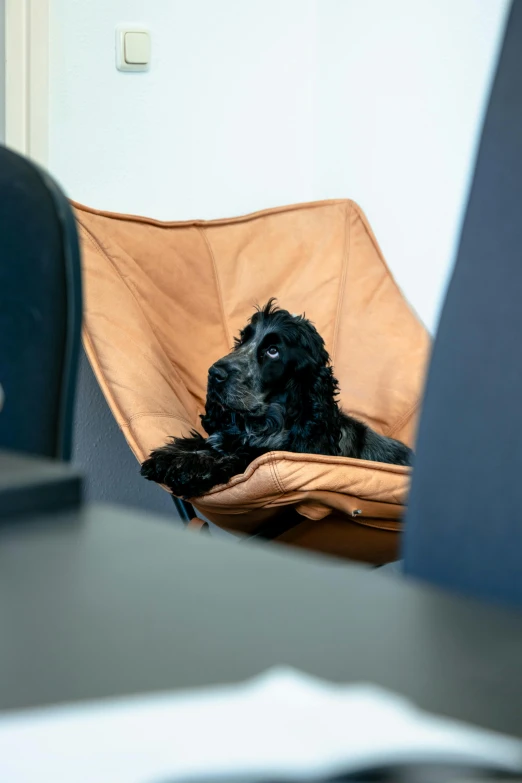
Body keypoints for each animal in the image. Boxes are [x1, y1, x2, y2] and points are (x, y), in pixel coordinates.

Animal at [139, 298, 410, 500]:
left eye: (273, 351)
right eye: (242, 340)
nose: (214, 373)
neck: (261, 424)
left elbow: (242, 457)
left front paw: (190, 468)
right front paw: (171, 455)